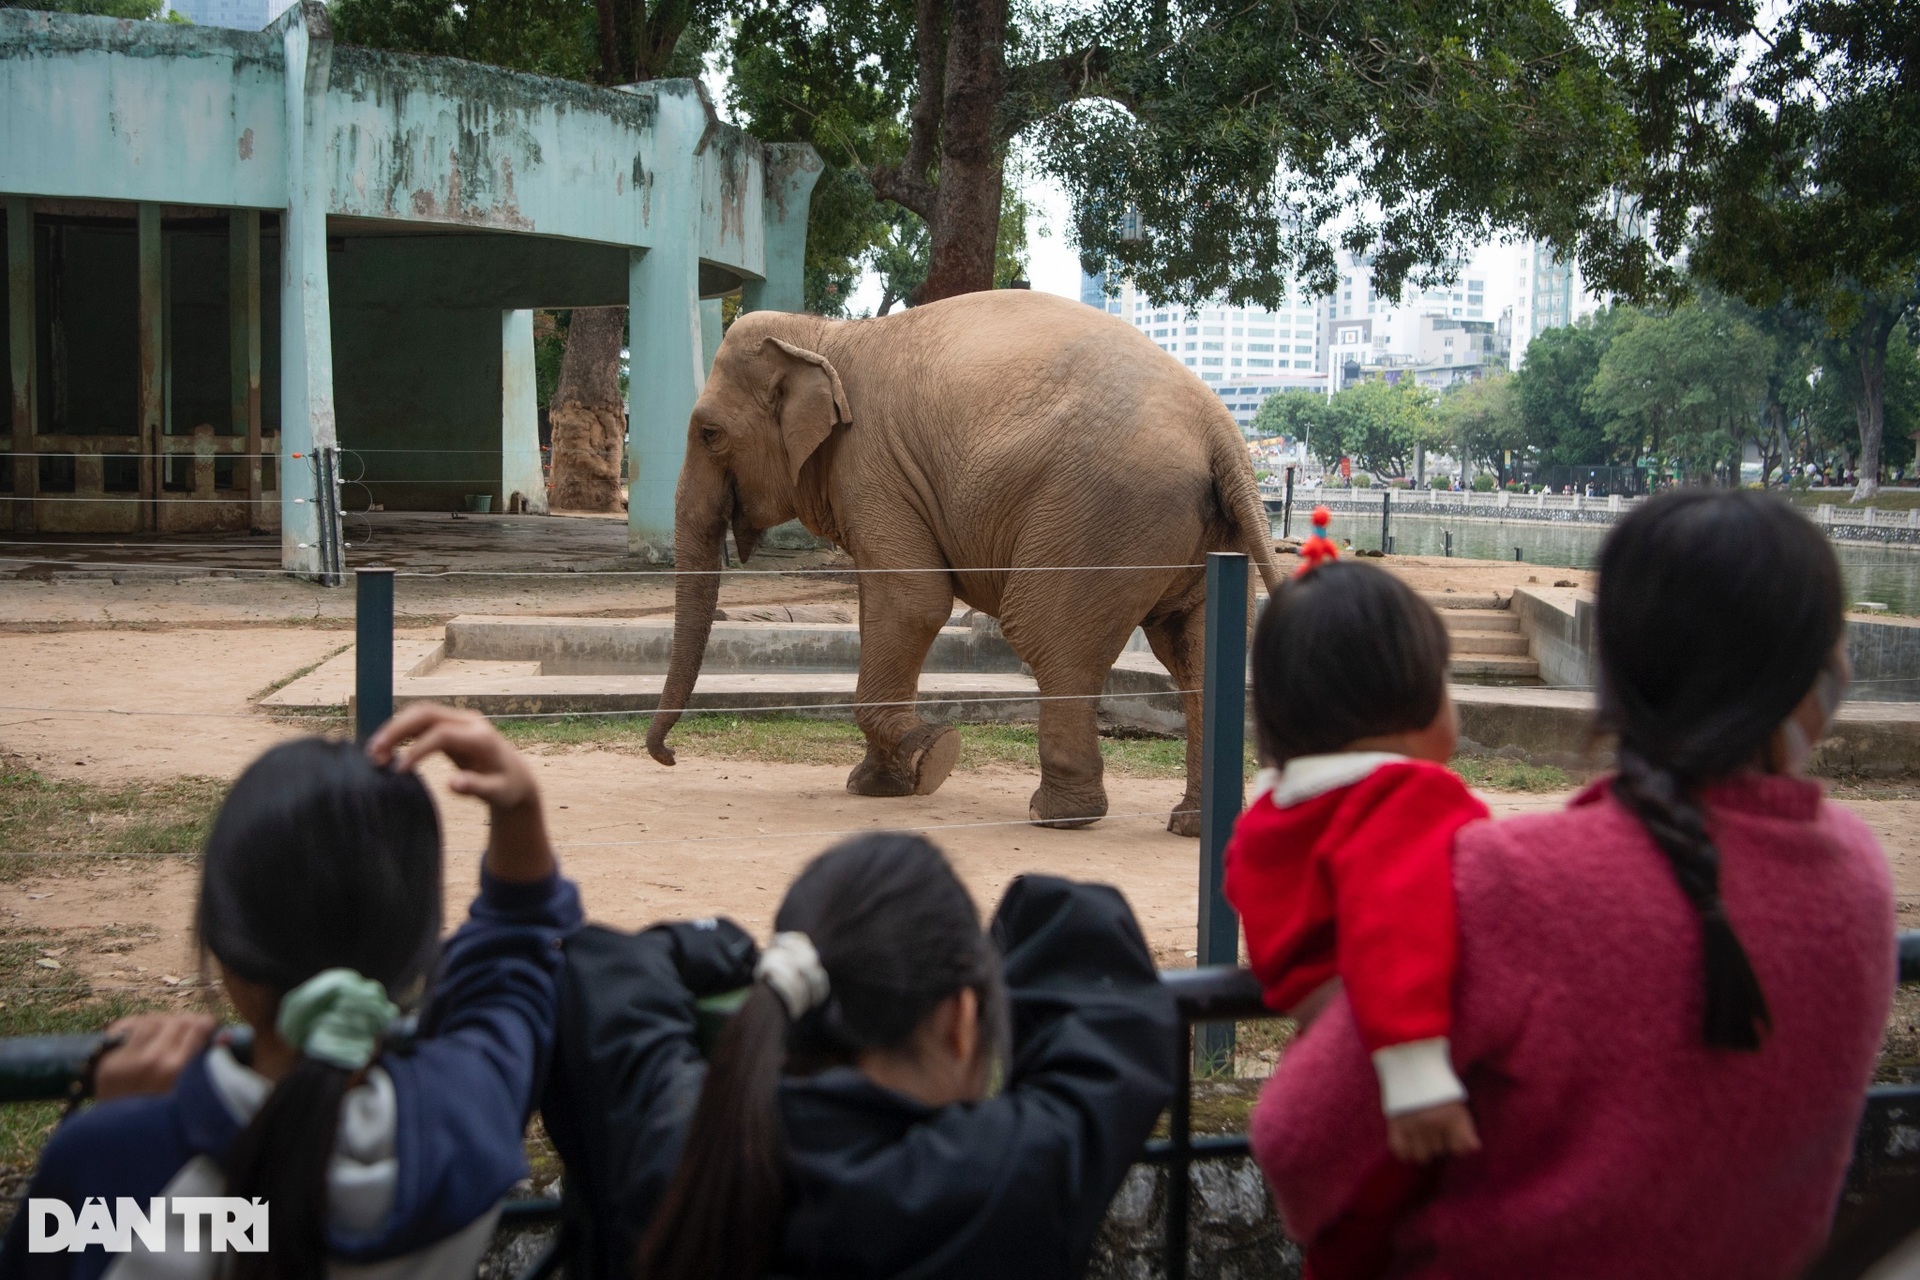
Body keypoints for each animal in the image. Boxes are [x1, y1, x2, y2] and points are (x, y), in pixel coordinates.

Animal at [645, 287, 1290, 840]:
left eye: (709, 434)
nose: (668, 756)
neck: (824, 335)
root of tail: (1223, 432)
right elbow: (883, 606)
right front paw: (878, 784)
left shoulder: (871, 466)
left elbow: (914, 602)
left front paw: (932, 756)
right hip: (1198, 533)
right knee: (1189, 653)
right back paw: (1193, 825)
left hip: (1099, 516)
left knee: (1046, 636)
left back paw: (1058, 817)